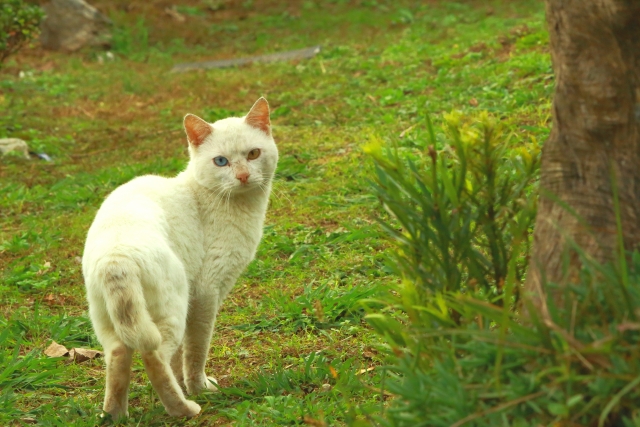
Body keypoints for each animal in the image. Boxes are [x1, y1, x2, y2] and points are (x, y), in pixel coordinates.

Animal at [82, 98, 278, 418]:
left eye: (253, 154)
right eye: (221, 161)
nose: (243, 176)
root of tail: (117, 258)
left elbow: (181, 357)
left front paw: (185, 383)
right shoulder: (206, 292)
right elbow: (196, 350)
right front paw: (199, 387)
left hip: (109, 323)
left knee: (119, 357)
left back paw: (115, 416)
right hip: (171, 308)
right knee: (155, 358)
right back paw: (184, 408)